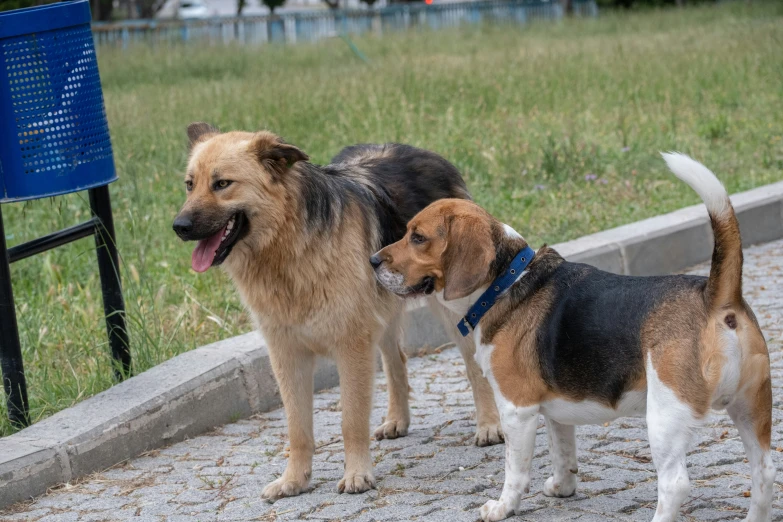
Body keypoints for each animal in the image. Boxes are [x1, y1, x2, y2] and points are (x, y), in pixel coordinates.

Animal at [370, 153, 776, 520]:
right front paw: (562, 488)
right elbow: (563, 451)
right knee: (765, 473)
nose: (373, 261)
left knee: (674, 484)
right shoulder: (554, 410)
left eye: (418, 237)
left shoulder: (516, 410)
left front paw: (502, 507)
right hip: (751, 407)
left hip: (665, 414)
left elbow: (514, 470)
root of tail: (714, 296)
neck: (507, 283)